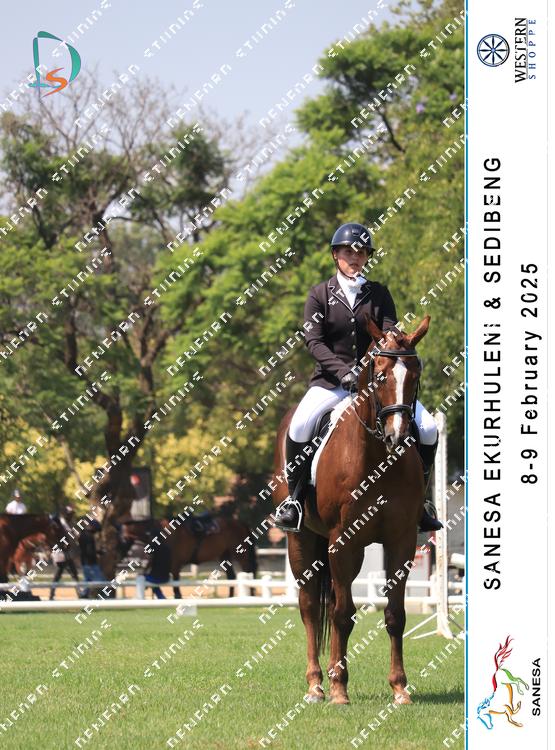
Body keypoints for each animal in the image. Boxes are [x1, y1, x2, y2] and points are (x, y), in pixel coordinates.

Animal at [120, 516, 258, 598]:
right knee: (232, 576)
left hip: (240, 554)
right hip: (225, 555)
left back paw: (251, 594)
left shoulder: (175, 565)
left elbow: (176, 586)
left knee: (248, 571)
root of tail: (240, 523)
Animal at [271, 315, 431, 705]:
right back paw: (317, 685)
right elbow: (343, 614)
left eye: (415, 375)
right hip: (303, 541)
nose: (397, 437)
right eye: (381, 376)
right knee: (311, 608)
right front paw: (340, 690)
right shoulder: (343, 541)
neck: (376, 458)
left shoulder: (401, 541)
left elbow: (395, 614)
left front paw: (400, 689)